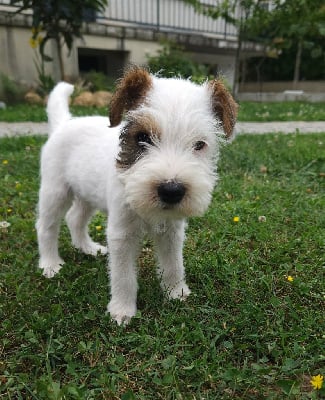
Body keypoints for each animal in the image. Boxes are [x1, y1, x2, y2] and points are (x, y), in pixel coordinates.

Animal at [36, 67, 237, 324]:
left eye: (199, 144)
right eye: (142, 137)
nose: (171, 191)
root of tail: (64, 124)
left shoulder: (172, 231)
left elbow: (173, 264)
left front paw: (176, 292)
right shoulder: (122, 234)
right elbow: (124, 276)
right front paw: (122, 310)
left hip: (87, 192)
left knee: (75, 218)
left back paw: (88, 248)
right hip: (55, 190)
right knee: (46, 227)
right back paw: (50, 264)